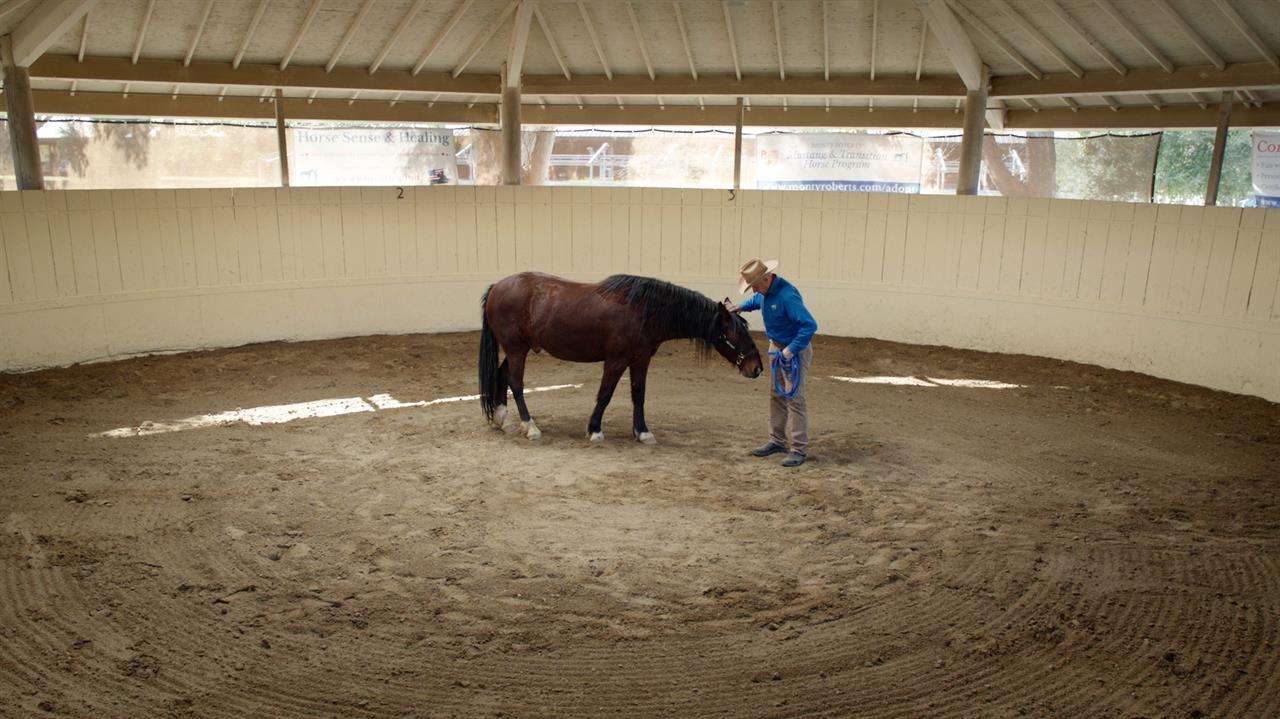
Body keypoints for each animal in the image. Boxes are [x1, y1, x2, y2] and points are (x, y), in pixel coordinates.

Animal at [478, 271, 757, 440]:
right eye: (735, 334)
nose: (756, 367)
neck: (644, 311)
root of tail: (496, 287)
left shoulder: (641, 360)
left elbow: (639, 395)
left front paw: (642, 432)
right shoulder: (616, 361)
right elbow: (605, 395)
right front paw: (594, 430)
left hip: (518, 348)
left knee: (502, 376)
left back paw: (504, 420)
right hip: (516, 349)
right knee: (516, 383)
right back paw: (530, 426)